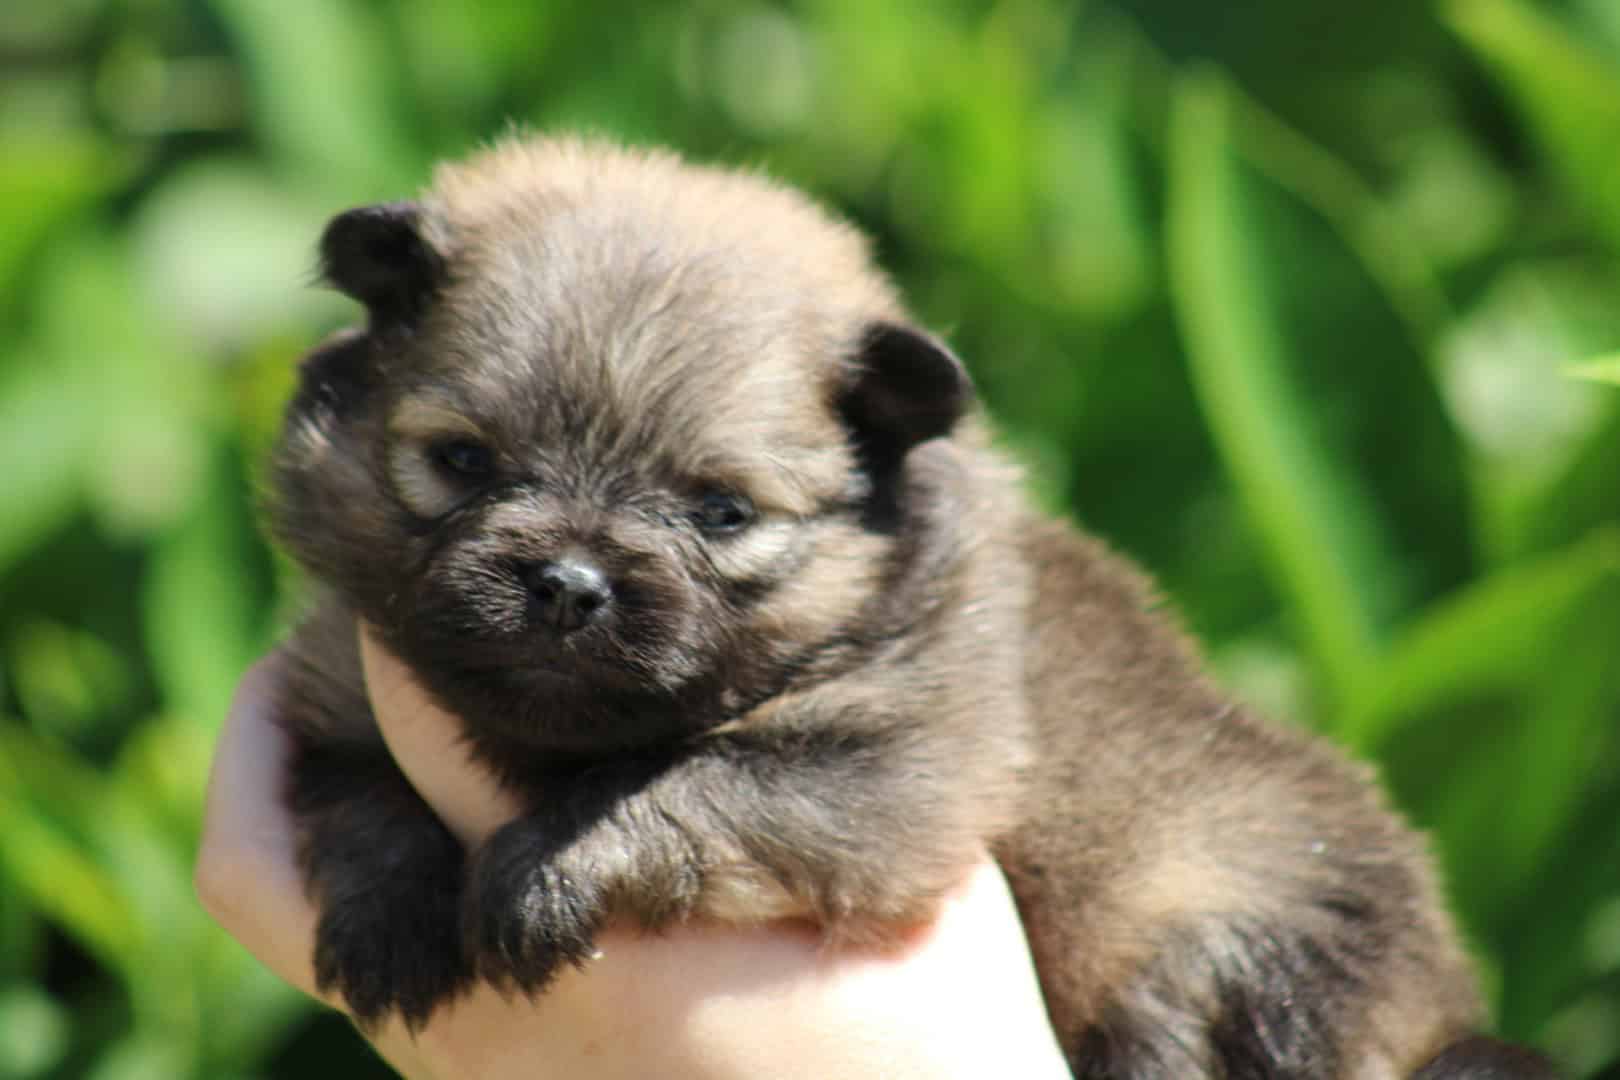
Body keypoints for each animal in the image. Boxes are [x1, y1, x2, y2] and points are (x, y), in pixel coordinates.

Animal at [268, 137, 1555, 1080]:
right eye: (462, 463)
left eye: (722, 512)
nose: (570, 584)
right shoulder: (331, 683)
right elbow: (355, 790)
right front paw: (390, 911)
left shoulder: (892, 768)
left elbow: (694, 785)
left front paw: (547, 870)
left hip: (1233, 927)